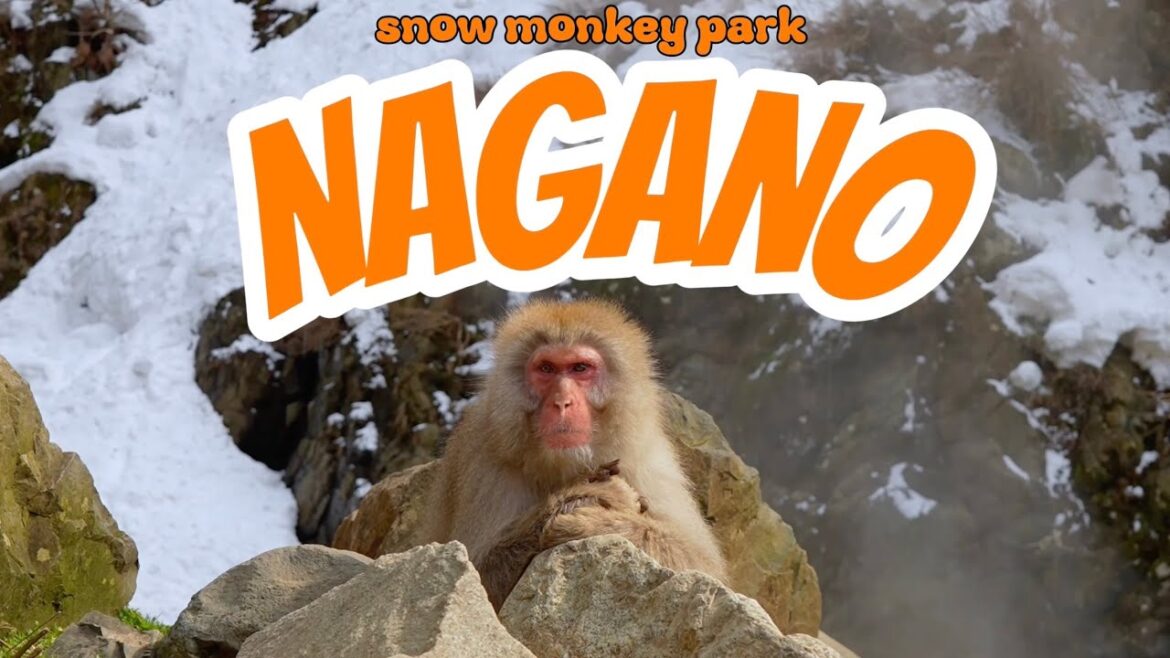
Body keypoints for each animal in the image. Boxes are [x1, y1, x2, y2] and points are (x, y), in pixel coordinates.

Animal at [420, 298, 727, 609]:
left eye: (580, 368)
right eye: (546, 368)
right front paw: (584, 498)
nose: (561, 402)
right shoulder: (483, 456)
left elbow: (704, 568)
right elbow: (472, 576)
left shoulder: (648, 457)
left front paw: (601, 524)